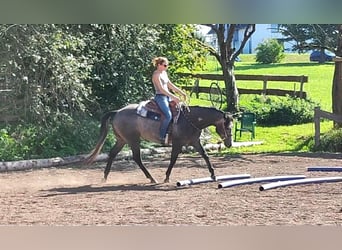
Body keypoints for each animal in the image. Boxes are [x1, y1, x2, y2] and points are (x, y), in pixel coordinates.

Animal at [85, 102, 235, 184]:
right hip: (133, 140)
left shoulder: (195, 142)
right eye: (228, 127)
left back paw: (104, 178)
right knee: (137, 158)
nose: (229, 144)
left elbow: (205, 156)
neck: (190, 119)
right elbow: (173, 159)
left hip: (122, 140)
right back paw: (151, 178)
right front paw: (167, 177)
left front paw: (213, 175)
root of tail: (117, 112)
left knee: (112, 154)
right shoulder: (178, 143)